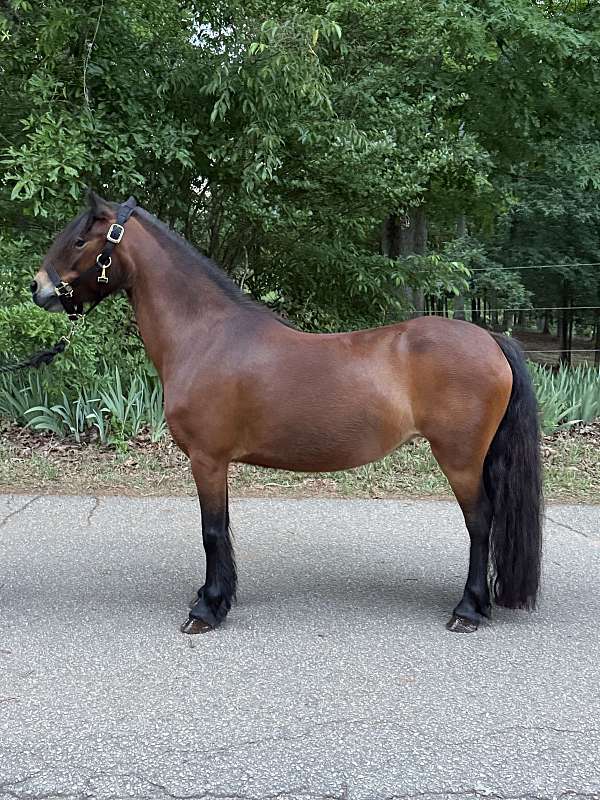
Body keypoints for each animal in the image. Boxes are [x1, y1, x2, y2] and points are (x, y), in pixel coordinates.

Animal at [30, 193, 543, 635]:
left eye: (80, 240)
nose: (38, 289)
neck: (206, 335)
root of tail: (490, 338)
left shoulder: (207, 459)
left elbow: (211, 530)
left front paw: (206, 609)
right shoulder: (215, 463)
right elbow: (221, 528)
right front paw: (216, 596)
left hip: (459, 459)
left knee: (480, 521)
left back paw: (468, 609)